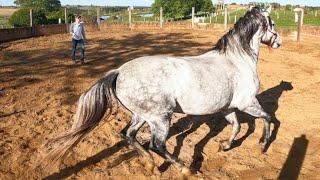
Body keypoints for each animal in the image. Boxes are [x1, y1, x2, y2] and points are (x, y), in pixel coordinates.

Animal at [45, 7, 282, 174]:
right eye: (272, 24)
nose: (278, 41)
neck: (238, 60)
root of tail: (119, 71)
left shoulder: (228, 107)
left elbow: (237, 126)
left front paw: (225, 146)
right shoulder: (247, 102)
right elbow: (268, 118)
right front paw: (262, 145)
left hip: (141, 116)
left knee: (128, 135)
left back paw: (150, 165)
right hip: (161, 117)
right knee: (156, 145)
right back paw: (185, 169)